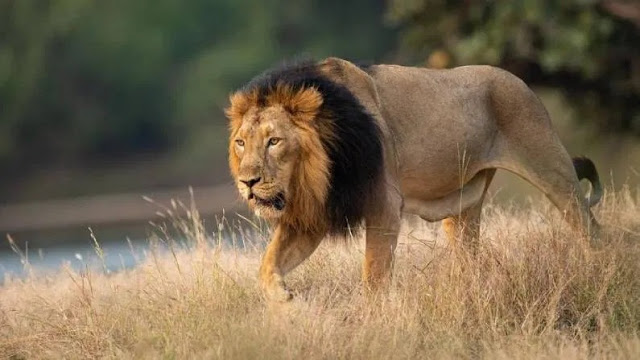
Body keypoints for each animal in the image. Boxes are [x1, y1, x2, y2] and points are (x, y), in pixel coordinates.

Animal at [228, 57, 604, 302]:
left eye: (274, 141)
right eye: (241, 142)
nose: (248, 182)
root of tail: (519, 80)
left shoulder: (383, 207)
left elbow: (374, 275)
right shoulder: (313, 216)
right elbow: (267, 265)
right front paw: (285, 301)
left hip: (552, 168)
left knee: (592, 229)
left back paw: (600, 273)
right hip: (464, 208)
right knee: (471, 259)